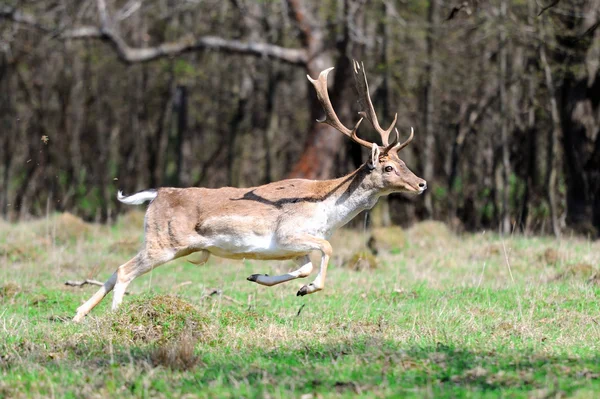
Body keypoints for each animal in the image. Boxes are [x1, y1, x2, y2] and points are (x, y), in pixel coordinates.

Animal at [71, 61, 426, 322]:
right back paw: (115, 316)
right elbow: (326, 250)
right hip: (165, 242)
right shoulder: (289, 233)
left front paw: (263, 278)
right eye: (387, 167)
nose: (421, 183)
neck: (327, 211)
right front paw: (310, 288)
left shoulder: (291, 247)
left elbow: (305, 265)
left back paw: (78, 315)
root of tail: (155, 194)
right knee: (123, 271)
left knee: (115, 270)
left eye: (403, 161)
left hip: (167, 244)